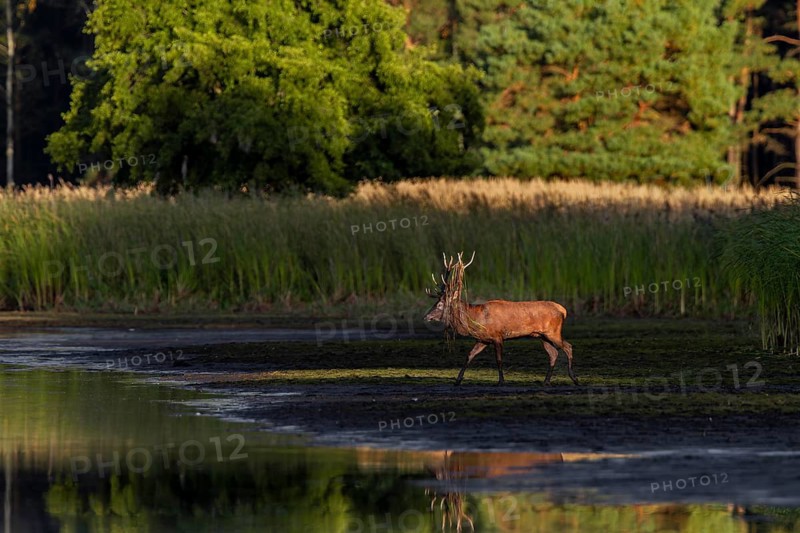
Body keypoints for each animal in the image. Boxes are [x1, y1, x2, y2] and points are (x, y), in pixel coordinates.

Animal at [424, 252, 578, 386]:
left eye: (440, 304)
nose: (426, 317)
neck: (476, 320)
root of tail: (563, 310)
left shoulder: (497, 336)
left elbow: (499, 360)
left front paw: (501, 381)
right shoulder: (483, 339)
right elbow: (469, 355)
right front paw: (457, 380)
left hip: (553, 332)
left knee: (568, 346)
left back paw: (574, 378)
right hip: (542, 335)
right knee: (553, 353)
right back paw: (546, 381)